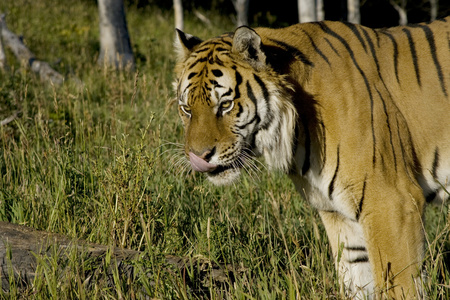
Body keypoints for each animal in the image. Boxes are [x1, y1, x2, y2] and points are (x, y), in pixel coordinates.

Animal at [173, 17, 450, 300]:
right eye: (186, 109)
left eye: (225, 105)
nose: (199, 156)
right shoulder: (338, 213)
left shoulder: (391, 203)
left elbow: (399, 285)